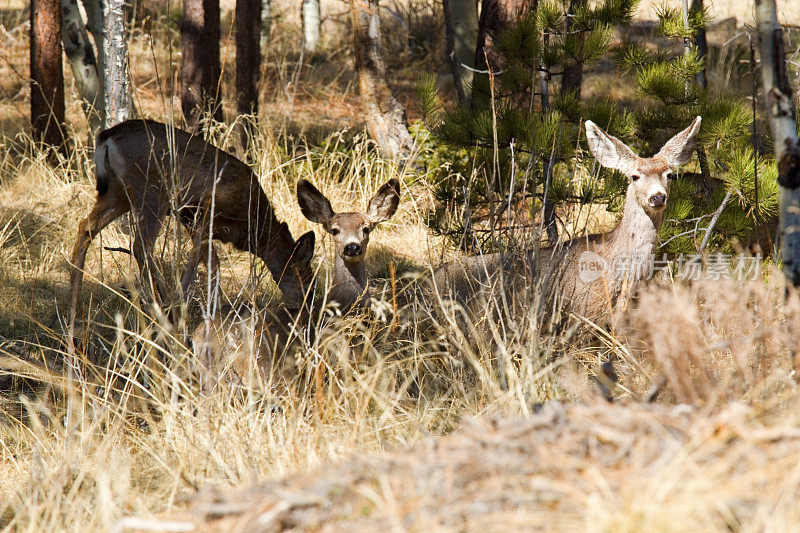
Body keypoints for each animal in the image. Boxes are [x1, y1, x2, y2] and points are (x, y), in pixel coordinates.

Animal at [69, 121, 318, 354]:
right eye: (309, 282)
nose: (305, 311)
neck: (254, 225)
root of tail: (107, 136)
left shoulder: (194, 222)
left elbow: (212, 263)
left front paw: (213, 311)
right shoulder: (205, 211)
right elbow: (199, 259)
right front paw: (182, 307)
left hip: (118, 193)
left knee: (86, 227)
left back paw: (74, 302)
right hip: (150, 191)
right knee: (141, 245)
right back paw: (160, 306)